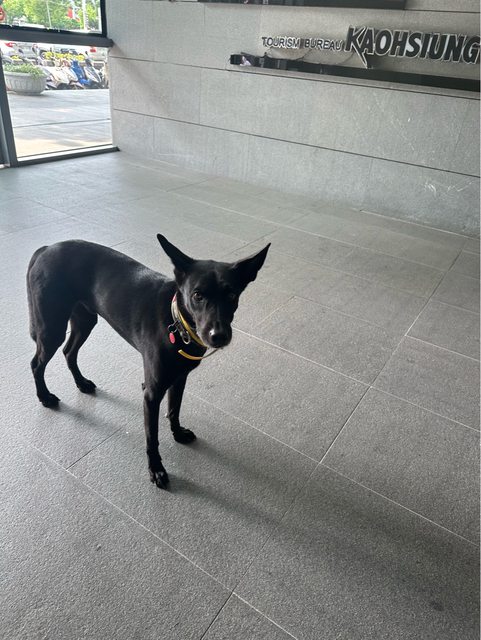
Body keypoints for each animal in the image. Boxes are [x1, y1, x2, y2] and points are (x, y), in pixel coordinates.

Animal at [26, 234, 270, 488]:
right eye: (197, 295)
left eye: (231, 295)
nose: (218, 336)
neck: (177, 324)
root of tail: (46, 248)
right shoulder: (151, 393)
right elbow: (152, 437)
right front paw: (156, 470)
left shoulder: (179, 378)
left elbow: (174, 409)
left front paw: (177, 433)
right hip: (52, 327)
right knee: (37, 363)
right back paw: (45, 396)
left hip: (85, 319)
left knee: (69, 352)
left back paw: (81, 383)